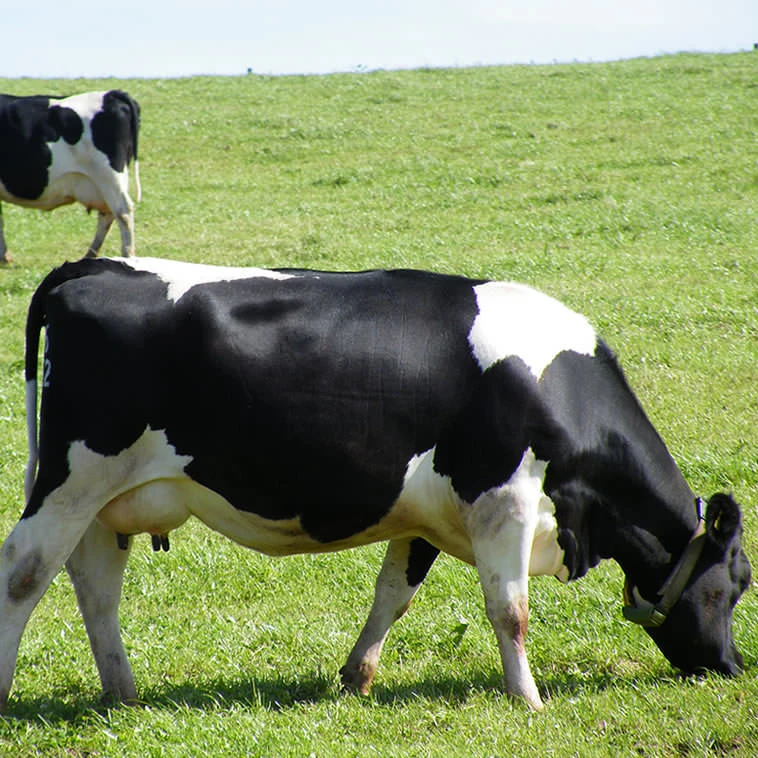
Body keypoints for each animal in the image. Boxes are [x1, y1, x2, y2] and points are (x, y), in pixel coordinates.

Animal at [0, 90, 140, 264]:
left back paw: (127, 255)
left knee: (123, 212)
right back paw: (89, 255)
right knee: (108, 213)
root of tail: (111, 94)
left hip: (108, 175)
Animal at [0, 257, 750, 712]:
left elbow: (394, 595)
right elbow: (511, 609)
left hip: (103, 500)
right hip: (72, 480)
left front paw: (356, 676)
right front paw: (528, 699)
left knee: (95, 587)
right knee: (24, 573)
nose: (733, 665)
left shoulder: (425, 517)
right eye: (734, 585)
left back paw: (122, 692)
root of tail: (89, 267)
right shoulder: (503, 501)